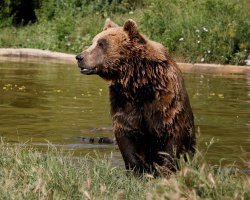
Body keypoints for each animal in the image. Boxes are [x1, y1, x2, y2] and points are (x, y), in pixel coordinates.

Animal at [75, 18, 195, 175]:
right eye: (93, 41)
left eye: (101, 43)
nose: (79, 57)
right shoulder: (123, 101)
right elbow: (127, 134)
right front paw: (137, 170)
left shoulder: (166, 101)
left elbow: (172, 137)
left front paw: (165, 169)